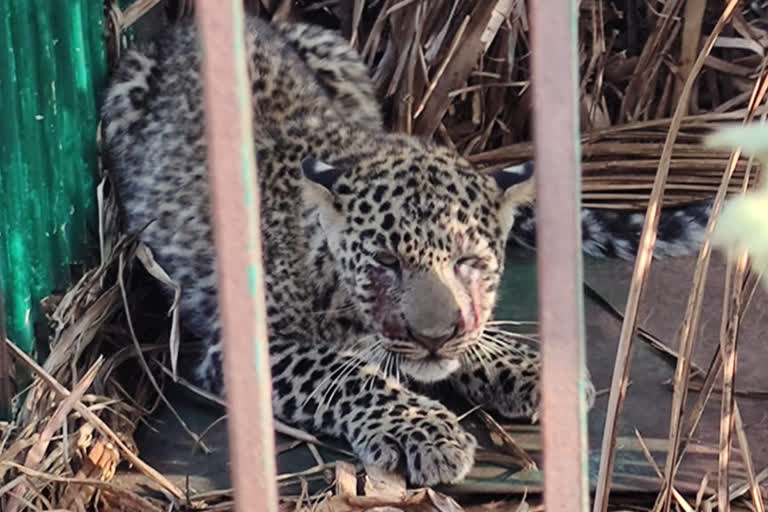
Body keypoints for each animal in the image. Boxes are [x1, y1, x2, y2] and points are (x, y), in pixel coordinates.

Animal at [99, 16, 712, 486]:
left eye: (469, 263)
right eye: (385, 264)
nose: (433, 337)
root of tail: (180, 28)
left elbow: (471, 337)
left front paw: (529, 366)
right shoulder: (242, 347)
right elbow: (347, 373)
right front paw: (427, 432)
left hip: (335, 50)